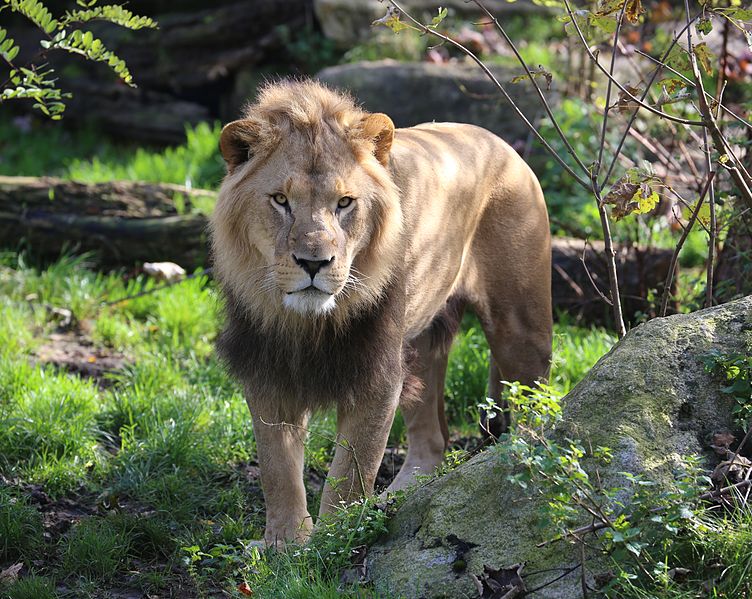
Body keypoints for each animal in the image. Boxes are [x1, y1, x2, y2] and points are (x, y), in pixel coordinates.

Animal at [212, 79, 552, 548]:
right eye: (280, 200)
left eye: (344, 203)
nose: (314, 263)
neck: (307, 322)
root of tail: (501, 144)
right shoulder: (268, 368)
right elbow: (277, 468)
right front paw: (285, 543)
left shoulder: (378, 372)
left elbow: (352, 469)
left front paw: (333, 541)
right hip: (422, 343)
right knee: (433, 439)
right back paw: (402, 496)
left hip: (519, 330)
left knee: (538, 405)